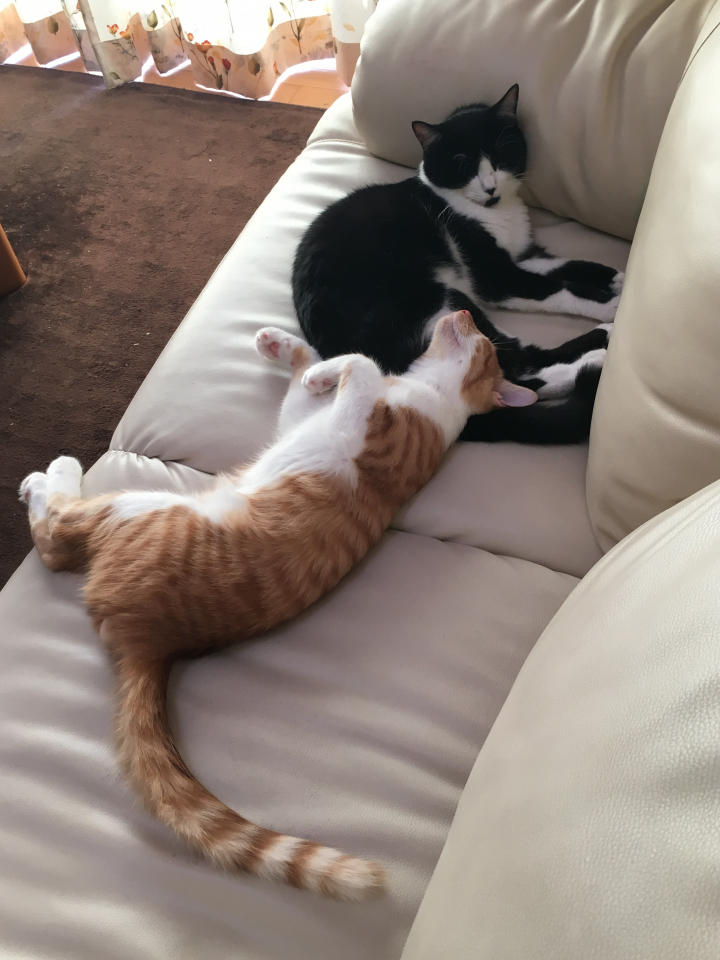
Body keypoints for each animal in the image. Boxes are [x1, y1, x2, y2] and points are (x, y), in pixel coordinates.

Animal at [19, 311, 536, 902]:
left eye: (486, 342)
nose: (464, 313)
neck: (421, 387)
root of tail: (151, 644)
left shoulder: (369, 431)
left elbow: (362, 363)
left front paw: (328, 371)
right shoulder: (302, 422)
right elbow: (319, 376)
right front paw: (289, 350)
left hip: (142, 505)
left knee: (58, 537)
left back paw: (49, 477)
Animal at [292, 83, 623, 445]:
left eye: (500, 154)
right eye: (462, 164)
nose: (490, 187)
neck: (492, 211)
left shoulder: (523, 257)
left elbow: (566, 266)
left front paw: (615, 277)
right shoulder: (496, 278)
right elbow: (557, 290)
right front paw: (611, 305)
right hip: (440, 299)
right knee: (521, 365)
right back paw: (597, 349)